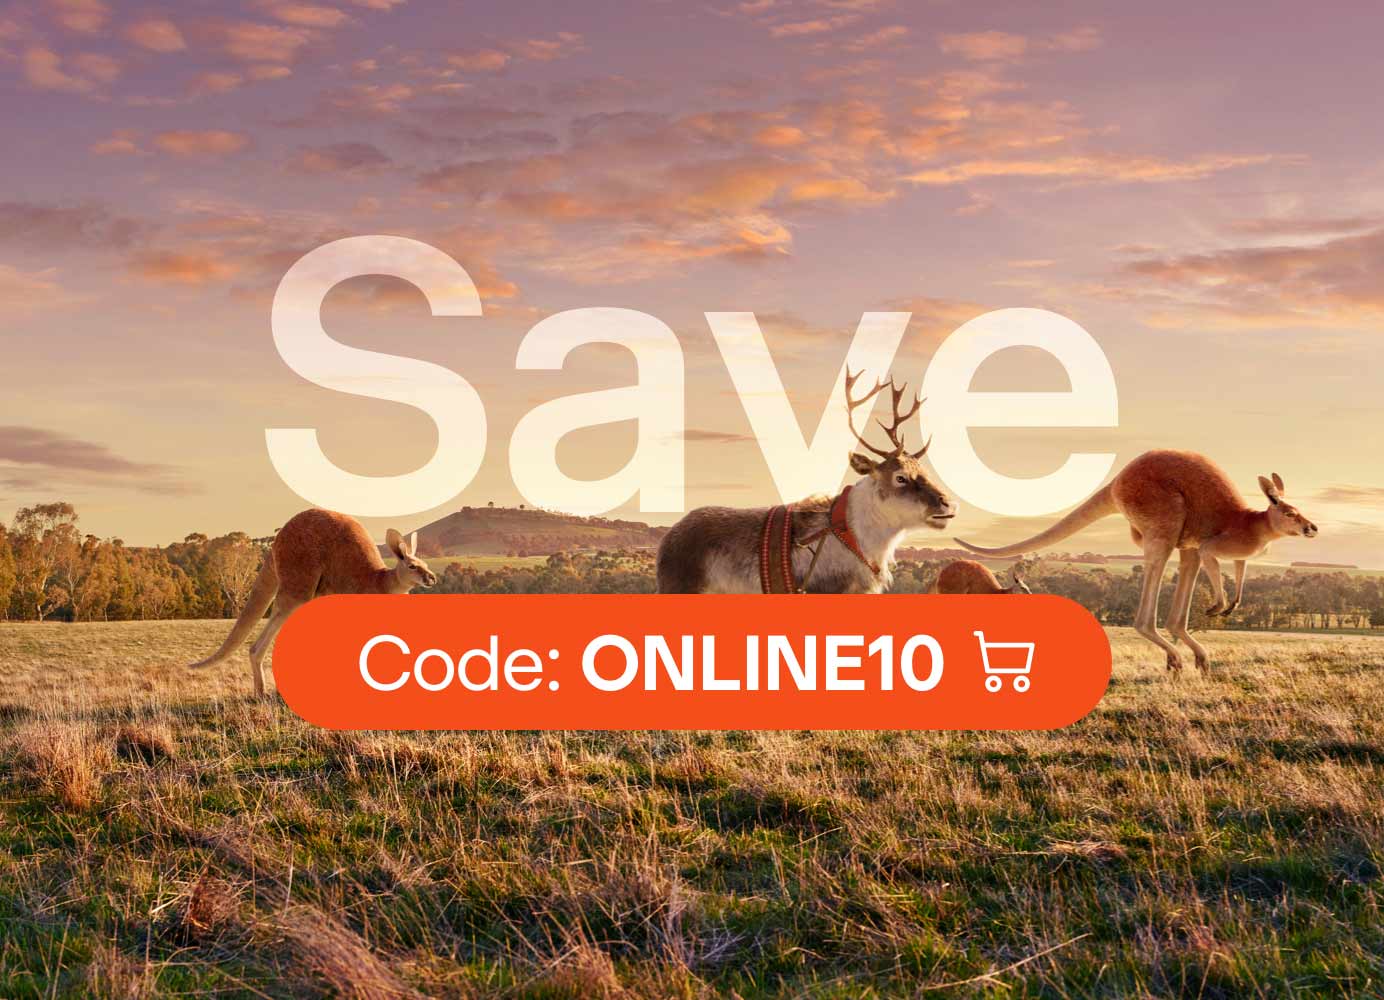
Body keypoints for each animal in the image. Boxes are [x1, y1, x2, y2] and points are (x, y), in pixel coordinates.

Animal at [188, 508, 436, 697]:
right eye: (413, 566)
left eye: (425, 564)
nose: (432, 578)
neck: (382, 582)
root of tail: (276, 542)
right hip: (299, 578)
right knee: (263, 638)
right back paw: (263, 693)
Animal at [956, 450, 1318, 673]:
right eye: (1290, 513)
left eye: (1299, 511)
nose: (1312, 527)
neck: (1252, 522)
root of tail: (1117, 481)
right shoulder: (1214, 543)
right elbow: (1213, 561)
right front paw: (1218, 604)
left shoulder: (1238, 555)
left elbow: (1239, 572)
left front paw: (1231, 604)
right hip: (1164, 516)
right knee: (1151, 600)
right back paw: (1177, 655)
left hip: (1176, 534)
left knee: (1181, 587)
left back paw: (1195, 657)